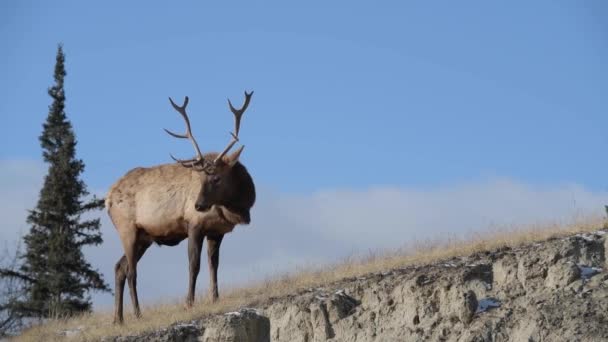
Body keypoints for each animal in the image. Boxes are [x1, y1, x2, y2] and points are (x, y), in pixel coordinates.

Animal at [105, 91, 255, 324]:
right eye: (201, 178)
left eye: (217, 178)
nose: (198, 204)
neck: (235, 208)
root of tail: (107, 198)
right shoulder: (194, 225)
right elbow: (194, 265)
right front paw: (189, 302)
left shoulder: (216, 232)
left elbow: (214, 264)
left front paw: (215, 298)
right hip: (127, 228)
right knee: (131, 272)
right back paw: (137, 314)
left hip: (144, 237)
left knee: (119, 267)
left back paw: (118, 319)